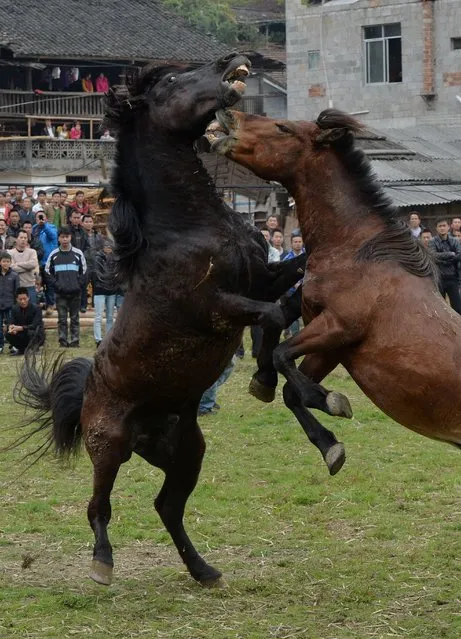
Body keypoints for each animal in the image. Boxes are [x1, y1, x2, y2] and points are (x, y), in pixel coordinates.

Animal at [208, 109, 461, 470]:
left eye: (282, 128)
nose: (228, 115)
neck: (352, 248)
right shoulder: (333, 342)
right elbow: (285, 368)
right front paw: (328, 443)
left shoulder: (339, 327)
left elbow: (282, 354)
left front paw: (330, 400)